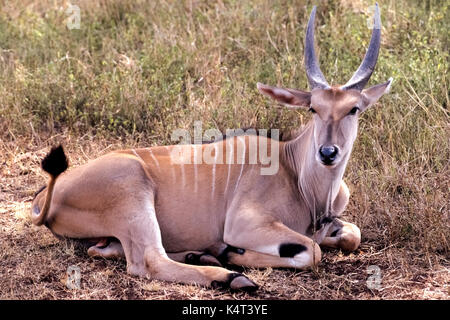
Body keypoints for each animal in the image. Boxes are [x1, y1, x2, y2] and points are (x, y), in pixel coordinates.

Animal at [31, 5, 390, 292]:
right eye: (313, 108)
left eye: (354, 109)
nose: (328, 153)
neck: (297, 173)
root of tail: (47, 195)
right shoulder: (245, 223)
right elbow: (310, 251)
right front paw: (232, 253)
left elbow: (351, 234)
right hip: (132, 195)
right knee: (148, 260)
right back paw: (231, 275)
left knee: (110, 250)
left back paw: (202, 254)